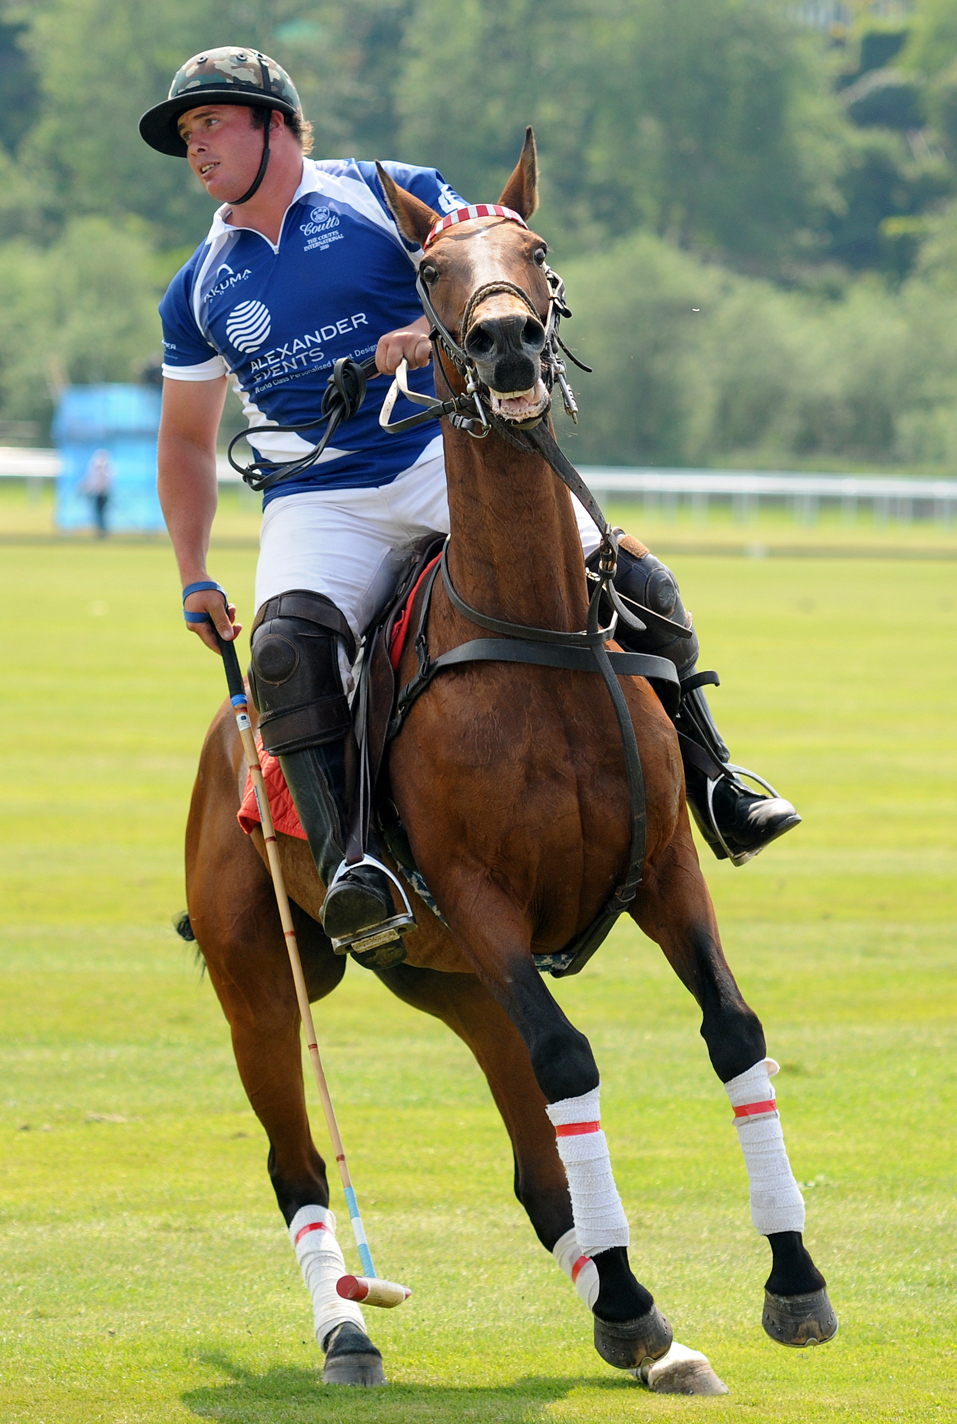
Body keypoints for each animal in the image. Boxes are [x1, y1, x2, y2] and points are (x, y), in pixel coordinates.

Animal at [183, 133, 831, 1389]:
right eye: (429, 269)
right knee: (297, 1159)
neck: (534, 628)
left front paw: (790, 1281)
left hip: (450, 977)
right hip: (263, 975)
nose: (506, 341)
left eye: (533, 247)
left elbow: (733, 1032)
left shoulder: (663, 868)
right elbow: (573, 1055)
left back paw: (652, 1330)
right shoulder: (480, 895)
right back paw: (350, 1324)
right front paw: (635, 1303)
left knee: (536, 1165)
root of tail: (226, 724)